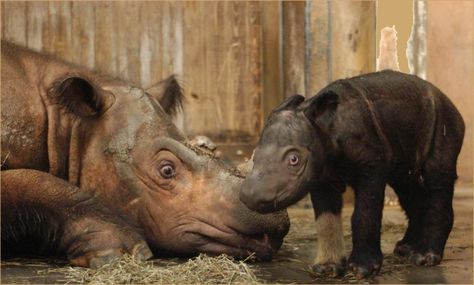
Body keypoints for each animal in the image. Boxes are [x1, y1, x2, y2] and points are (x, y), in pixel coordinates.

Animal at [241, 70, 462, 278]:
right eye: (255, 155)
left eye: (294, 160)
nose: (250, 196)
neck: (323, 127)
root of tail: (449, 102)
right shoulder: (320, 174)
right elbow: (326, 219)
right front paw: (327, 268)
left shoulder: (371, 165)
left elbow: (365, 212)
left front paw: (363, 270)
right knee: (407, 185)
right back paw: (405, 249)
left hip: (443, 121)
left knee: (437, 179)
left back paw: (425, 257)